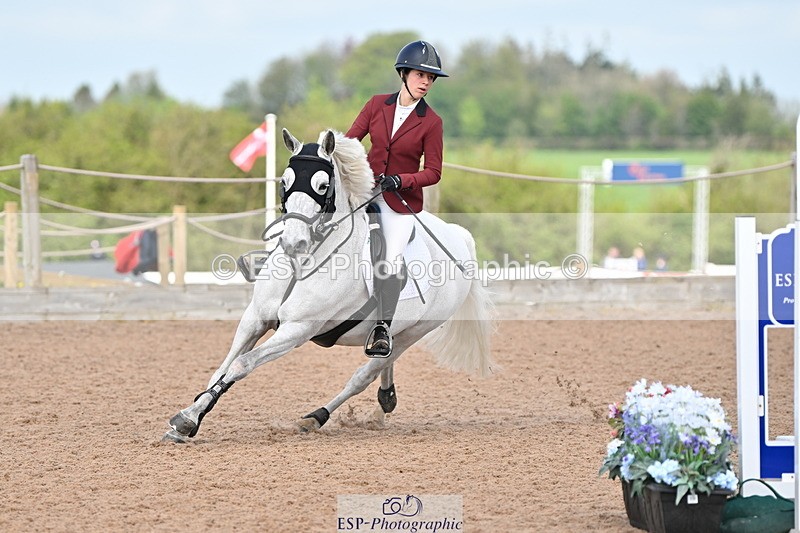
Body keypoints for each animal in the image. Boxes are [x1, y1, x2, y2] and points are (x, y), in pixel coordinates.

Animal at [163, 128, 495, 442]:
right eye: (284, 182)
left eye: (323, 186)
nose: (293, 243)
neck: (304, 261)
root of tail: (458, 236)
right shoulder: (255, 318)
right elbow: (222, 368)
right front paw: (191, 416)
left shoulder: (297, 329)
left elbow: (241, 365)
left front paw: (187, 419)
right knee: (382, 362)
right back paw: (385, 399)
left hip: (415, 332)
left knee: (364, 375)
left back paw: (315, 417)